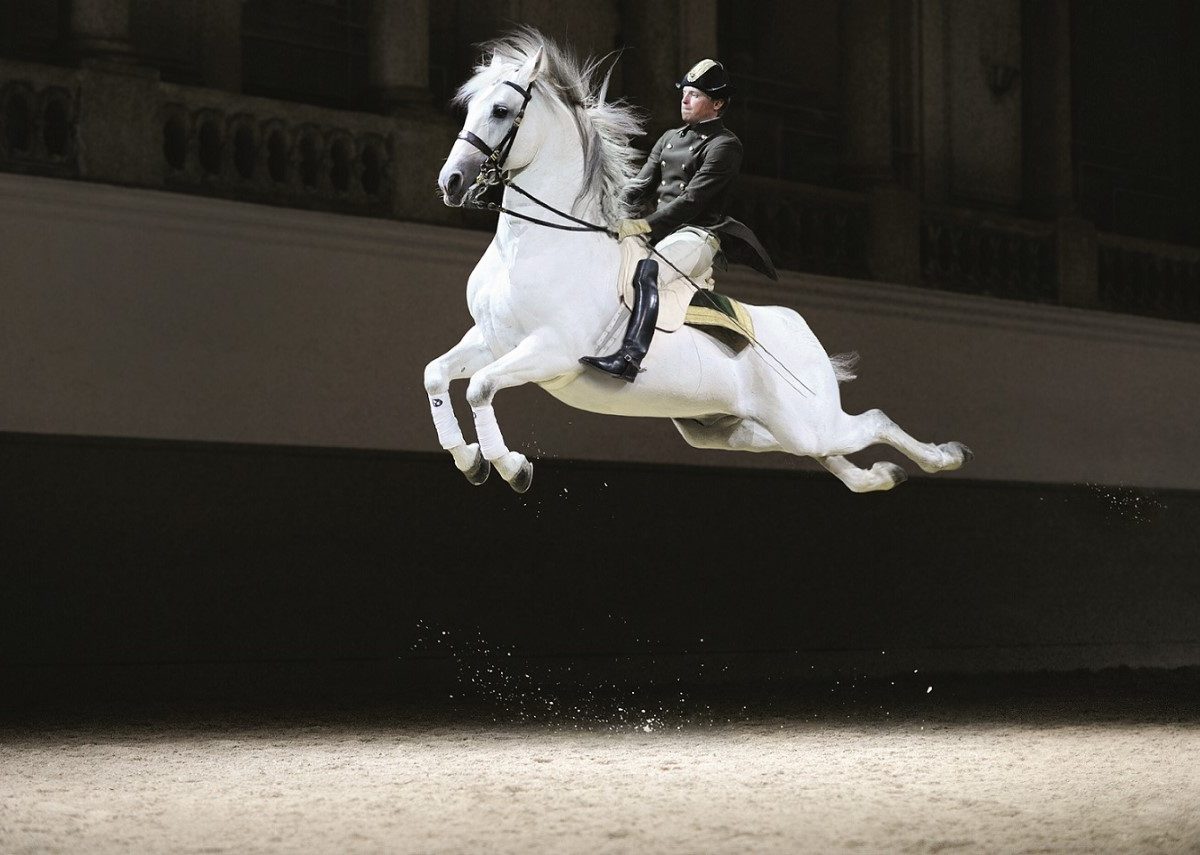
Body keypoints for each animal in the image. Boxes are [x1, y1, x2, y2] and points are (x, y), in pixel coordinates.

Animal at [427, 31, 969, 494]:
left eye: (501, 110)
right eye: (470, 107)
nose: (451, 181)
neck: (534, 245)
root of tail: (799, 331)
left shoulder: (550, 350)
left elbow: (479, 388)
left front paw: (512, 467)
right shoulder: (492, 340)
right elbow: (437, 375)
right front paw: (471, 460)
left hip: (808, 421)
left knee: (873, 421)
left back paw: (946, 456)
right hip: (740, 429)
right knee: (831, 455)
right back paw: (881, 476)